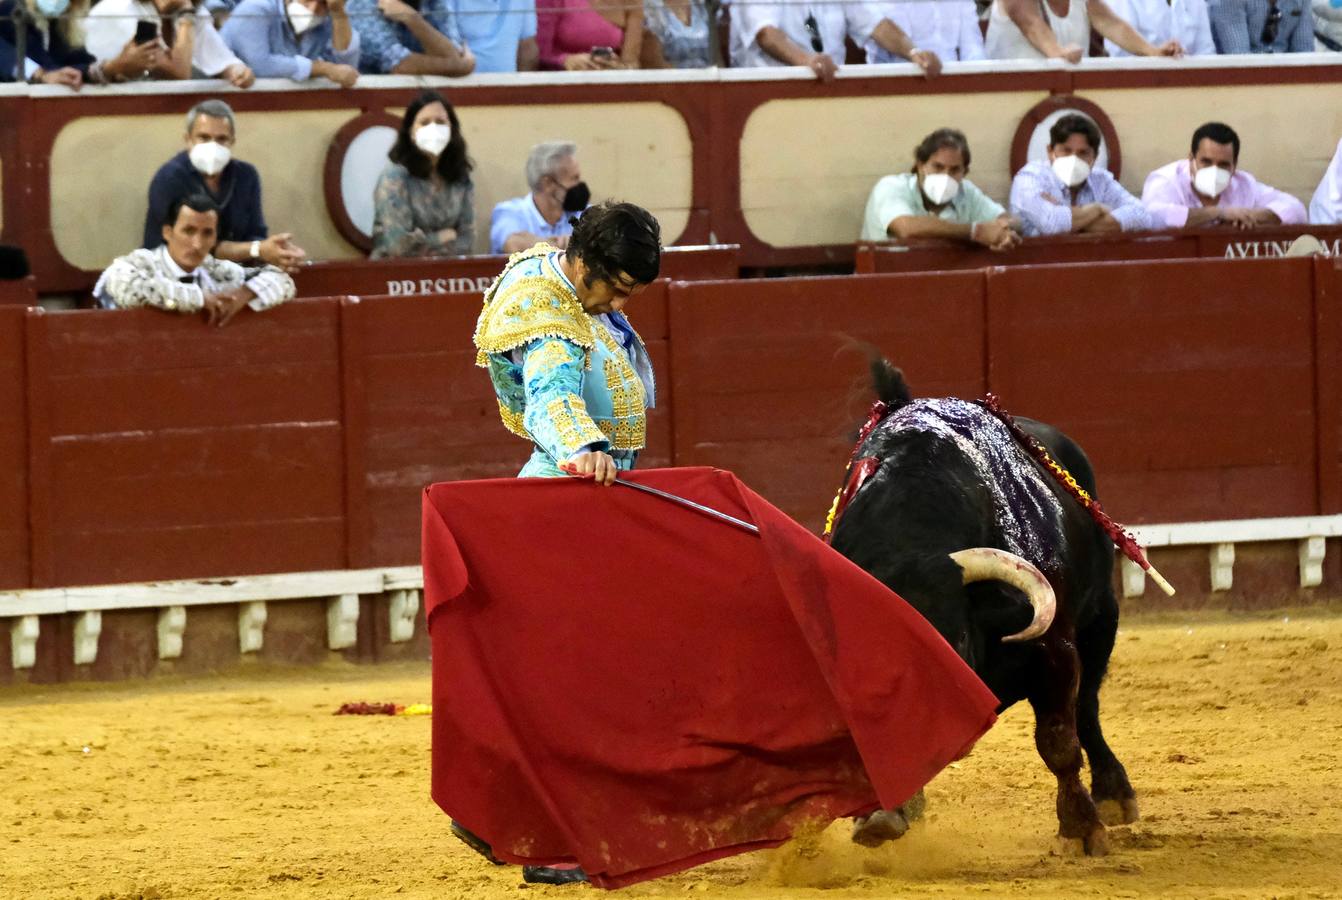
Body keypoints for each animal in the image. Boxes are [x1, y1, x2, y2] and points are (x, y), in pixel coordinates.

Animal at [832, 364, 1138, 858]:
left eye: (954, 637)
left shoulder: (1054, 649)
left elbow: (1058, 740)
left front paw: (1081, 828)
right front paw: (882, 815)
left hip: (1100, 619)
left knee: (1088, 707)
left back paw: (1114, 795)